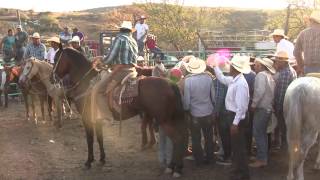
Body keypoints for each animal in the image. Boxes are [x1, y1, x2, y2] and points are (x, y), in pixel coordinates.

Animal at [52, 47, 188, 177]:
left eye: (56, 58)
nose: (51, 77)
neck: (86, 84)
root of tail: (171, 84)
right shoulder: (97, 120)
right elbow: (100, 139)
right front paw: (102, 159)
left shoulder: (87, 119)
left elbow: (90, 140)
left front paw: (88, 162)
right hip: (171, 119)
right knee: (180, 138)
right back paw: (176, 166)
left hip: (165, 121)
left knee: (178, 139)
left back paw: (174, 168)